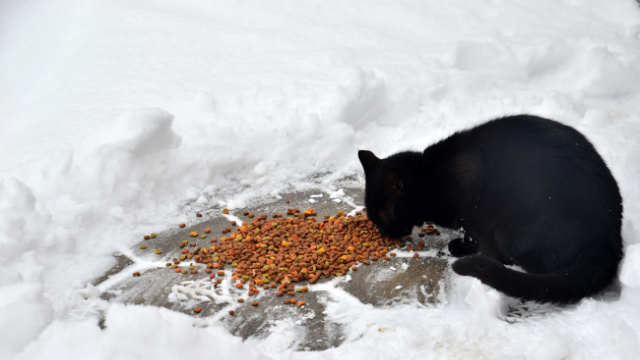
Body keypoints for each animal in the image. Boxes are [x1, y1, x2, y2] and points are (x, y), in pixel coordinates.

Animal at [360, 115, 624, 304]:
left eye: (382, 219)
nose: (383, 233)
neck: (428, 177)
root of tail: (609, 237)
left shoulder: (470, 196)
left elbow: (470, 232)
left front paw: (460, 247)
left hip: (509, 222)